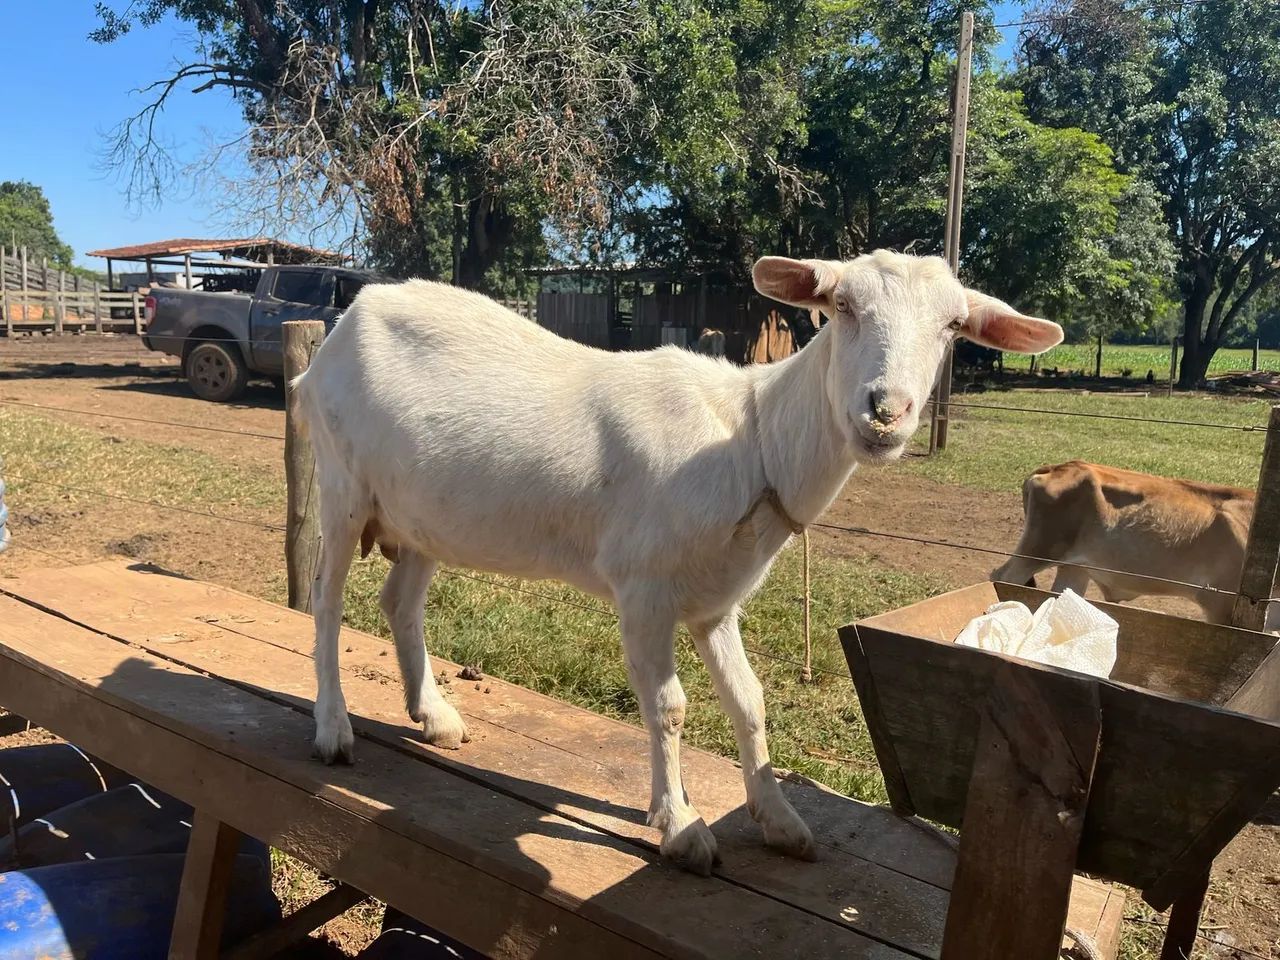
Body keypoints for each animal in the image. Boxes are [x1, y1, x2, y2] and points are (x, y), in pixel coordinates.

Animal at [292, 250, 1063, 874]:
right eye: (842, 305)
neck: (751, 440)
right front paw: (681, 825)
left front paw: (780, 821)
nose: (885, 411)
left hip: (425, 514)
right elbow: (668, 707)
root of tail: (342, 327)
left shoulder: (716, 600)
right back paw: (333, 728)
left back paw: (435, 716)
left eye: (953, 327)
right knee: (327, 599)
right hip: (341, 482)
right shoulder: (644, 587)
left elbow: (749, 701)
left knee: (400, 600)